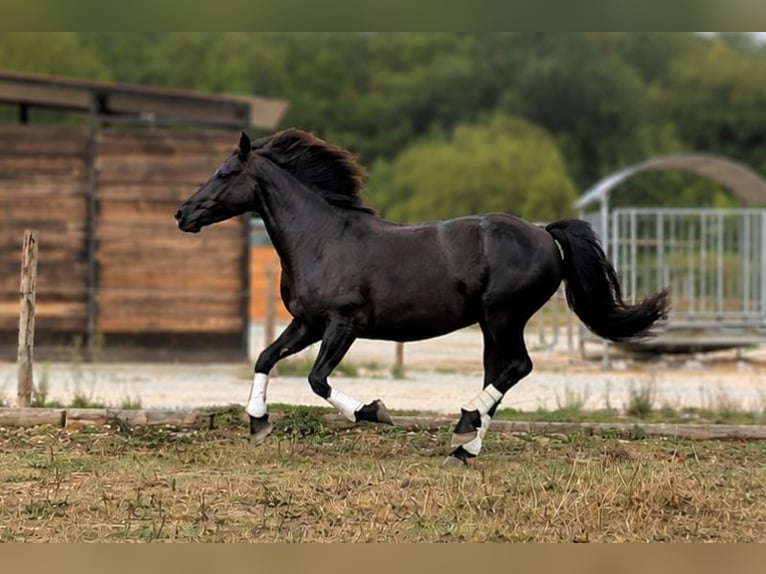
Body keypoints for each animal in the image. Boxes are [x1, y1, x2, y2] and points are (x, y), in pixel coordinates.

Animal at [175, 128, 669, 465]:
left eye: (223, 173)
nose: (182, 214)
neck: (322, 239)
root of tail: (546, 234)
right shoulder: (307, 323)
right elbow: (264, 357)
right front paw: (258, 423)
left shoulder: (342, 324)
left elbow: (317, 379)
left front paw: (374, 411)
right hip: (491, 323)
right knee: (500, 371)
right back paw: (464, 446)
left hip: (504, 316)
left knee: (517, 367)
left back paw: (465, 427)